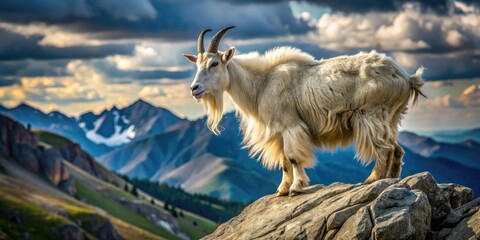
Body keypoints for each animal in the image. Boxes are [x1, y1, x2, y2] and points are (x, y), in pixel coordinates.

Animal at [183, 26, 424, 197]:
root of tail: (406, 77)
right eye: (197, 65)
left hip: (371, 115)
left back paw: (373, 179)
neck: (262, 84)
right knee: (397, 149)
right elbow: (284, 162)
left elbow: (293, 157)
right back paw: (392, 180)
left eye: (214, 63)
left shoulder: (290, 125)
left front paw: (296, 188)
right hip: (391, 118)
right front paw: (281, 190)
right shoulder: (278, 132)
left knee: (384, 149)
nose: (194, 88)